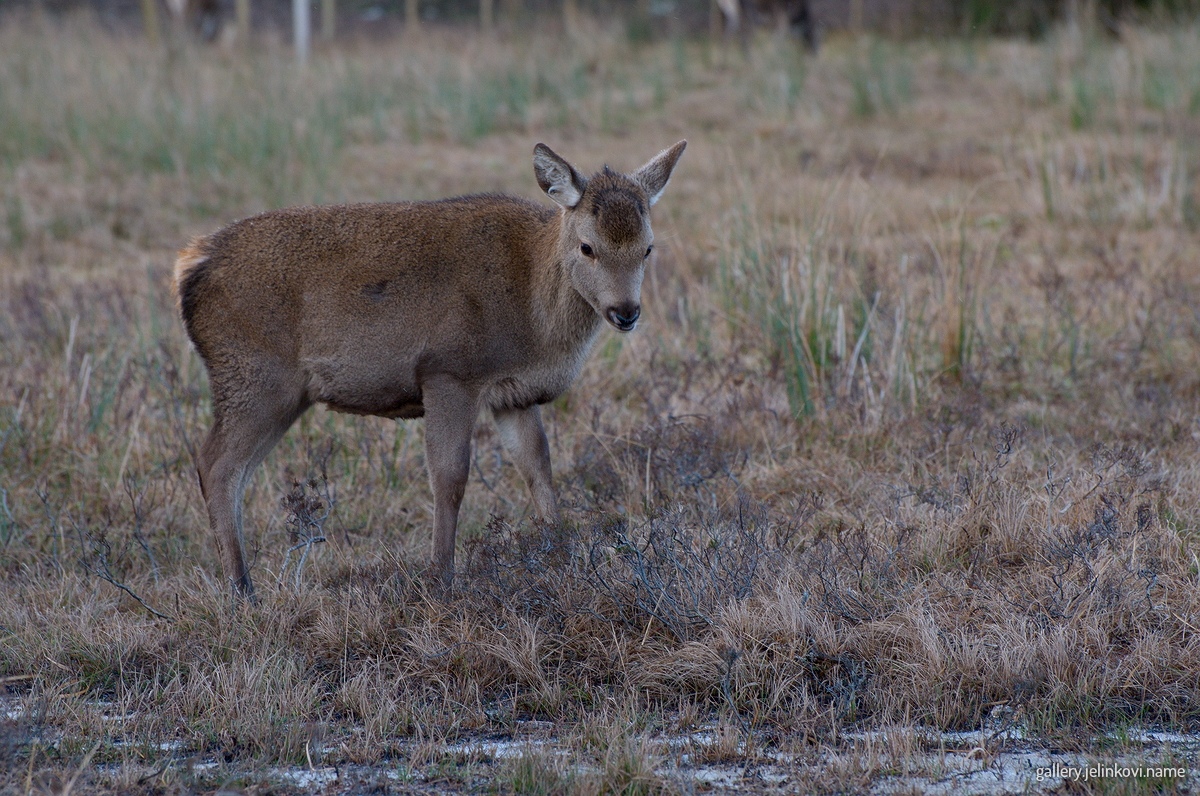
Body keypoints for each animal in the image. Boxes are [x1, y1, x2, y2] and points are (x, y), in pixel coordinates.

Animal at [174, 141, 687, 600]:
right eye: (587, 247)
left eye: (647, 248)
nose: (626, 312)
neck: (533, 313)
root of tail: (189, 265)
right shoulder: (449, 371)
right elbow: (449, 477)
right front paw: (441, 578)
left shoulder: (515, 394)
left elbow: (538, 468)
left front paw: (561, 559)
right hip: (255, 376)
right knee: (216, 464)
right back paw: (243, 591)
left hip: (275, 391)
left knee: (229, 470)